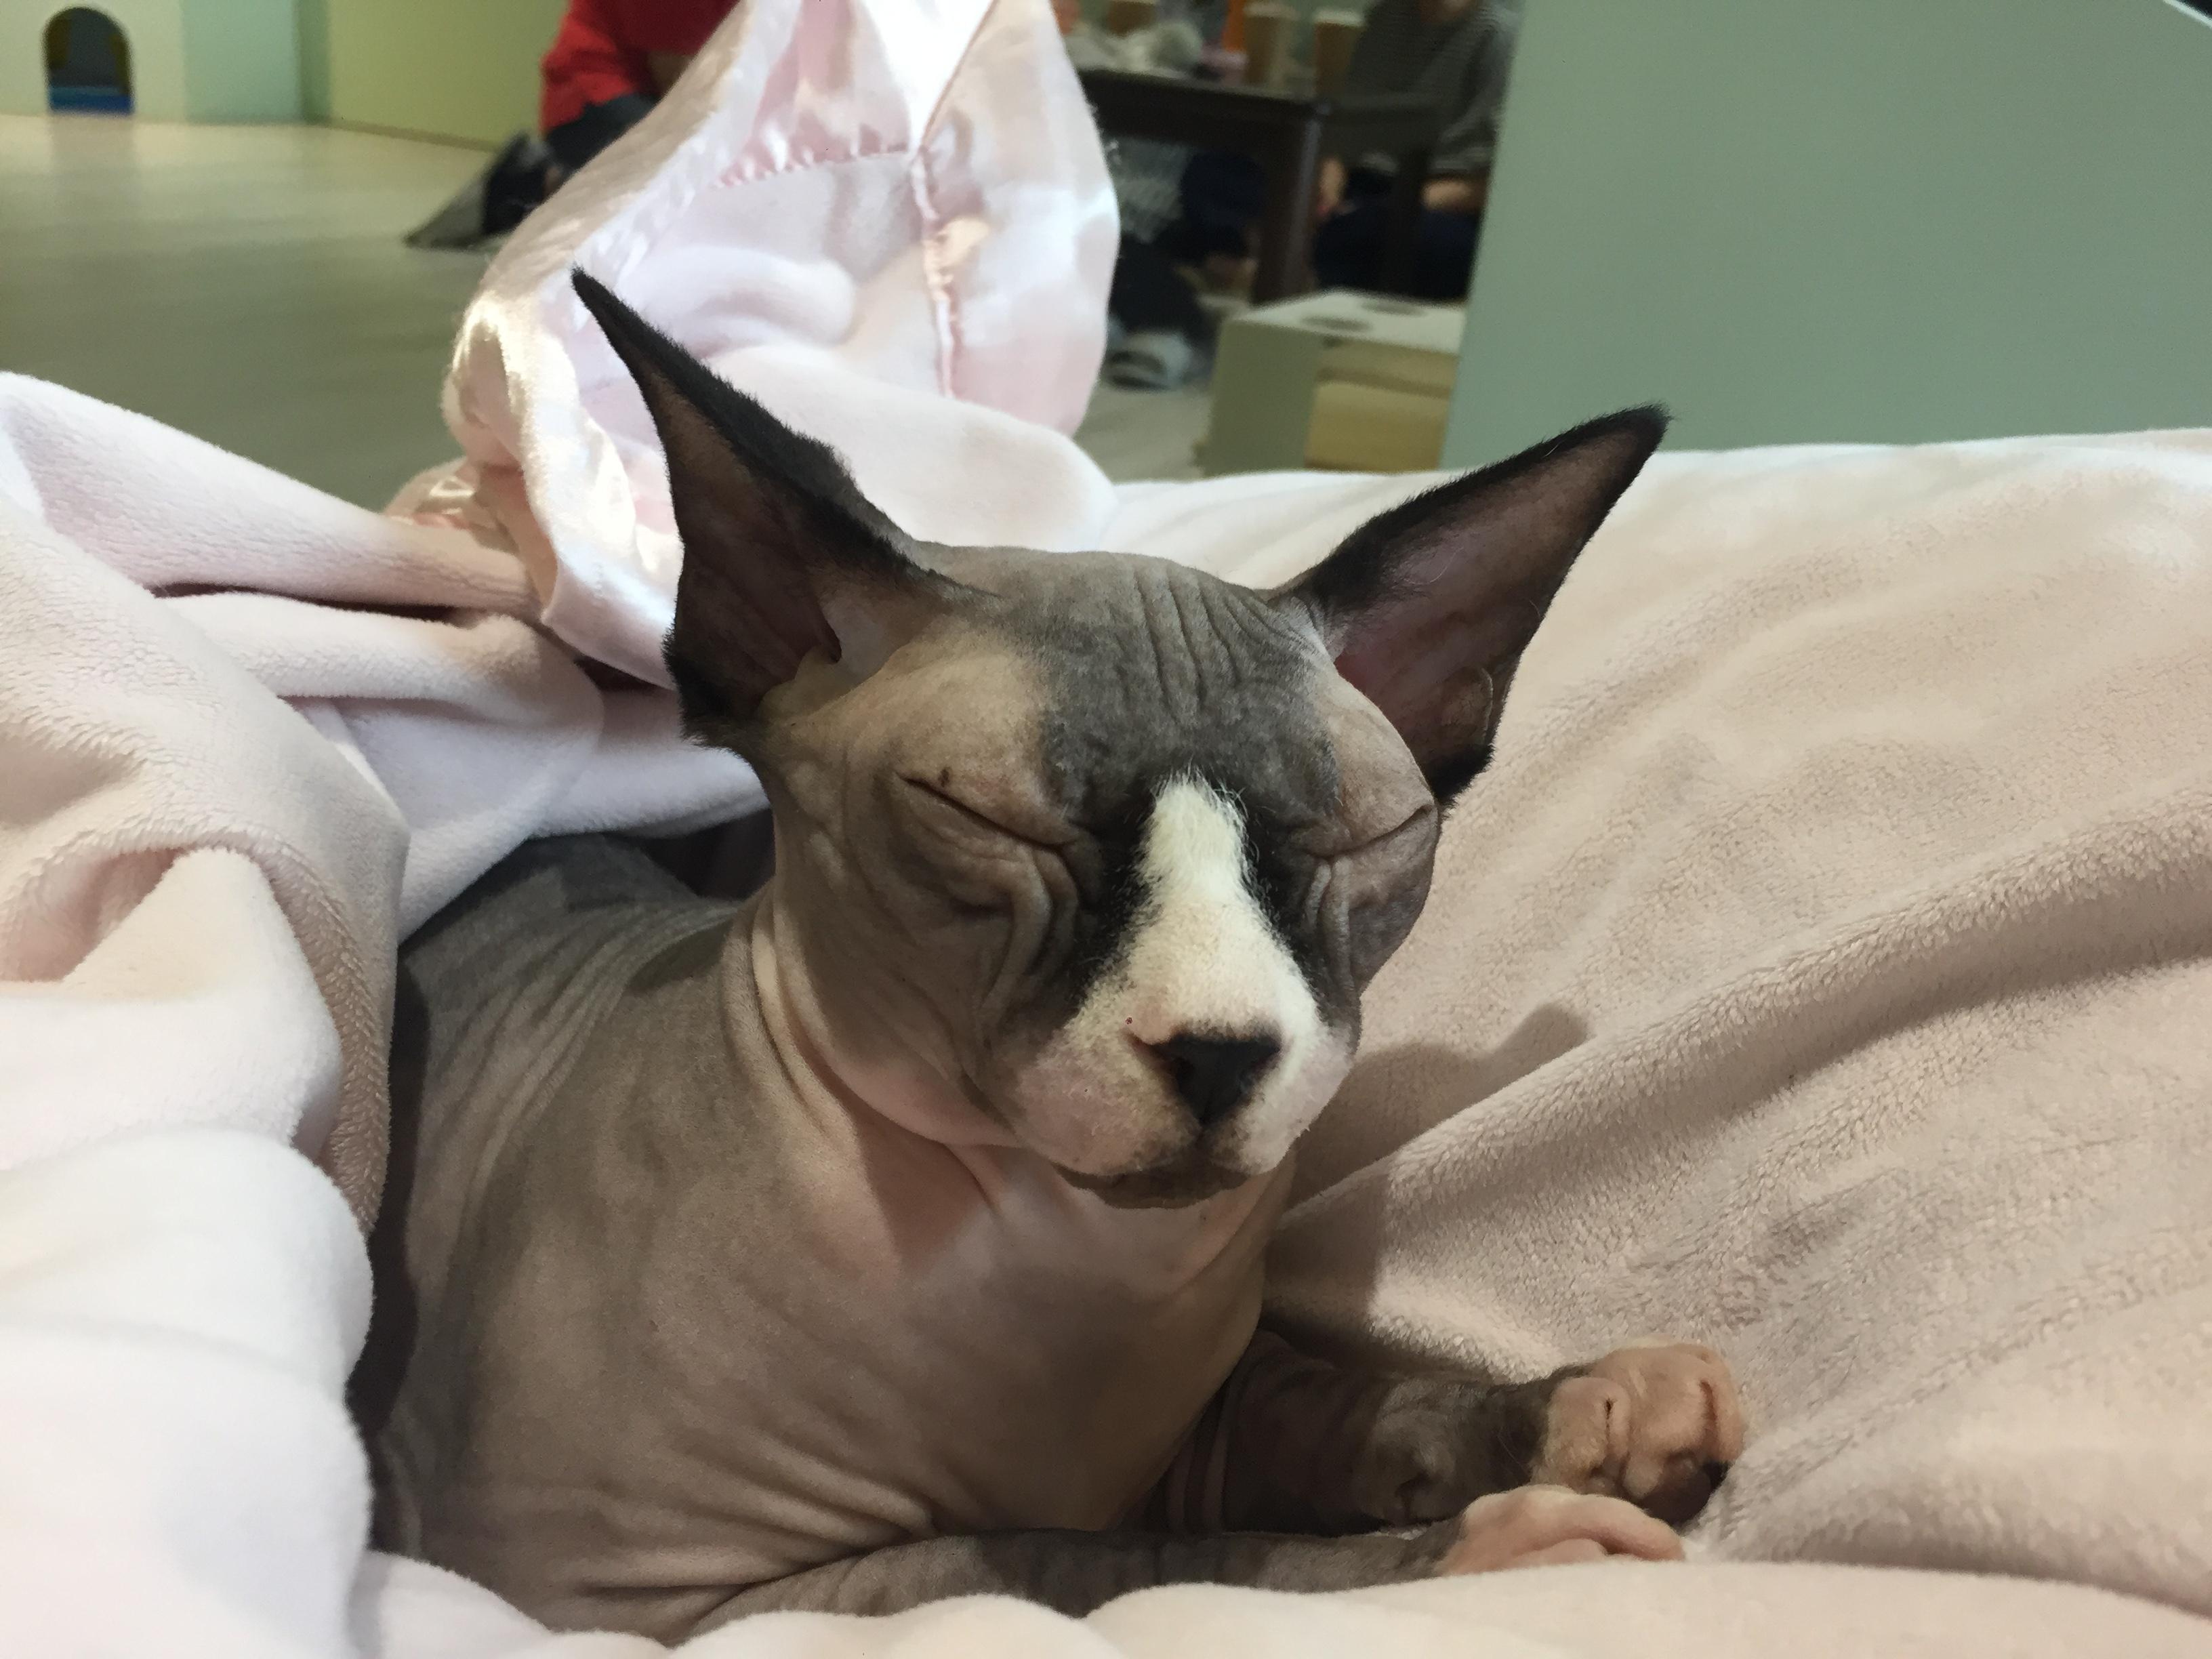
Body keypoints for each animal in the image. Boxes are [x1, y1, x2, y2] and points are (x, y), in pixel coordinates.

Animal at [355, 271, 1742, 1640]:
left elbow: (1340, 1405)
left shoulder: (1208, 1424)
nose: (1221, 1051)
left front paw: (1583, 1406)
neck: (1071, 1263)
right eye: (990, 820)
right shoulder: (642, 1603)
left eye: (1371, 838)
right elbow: (1112, 1563)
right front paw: (1488, 1556)